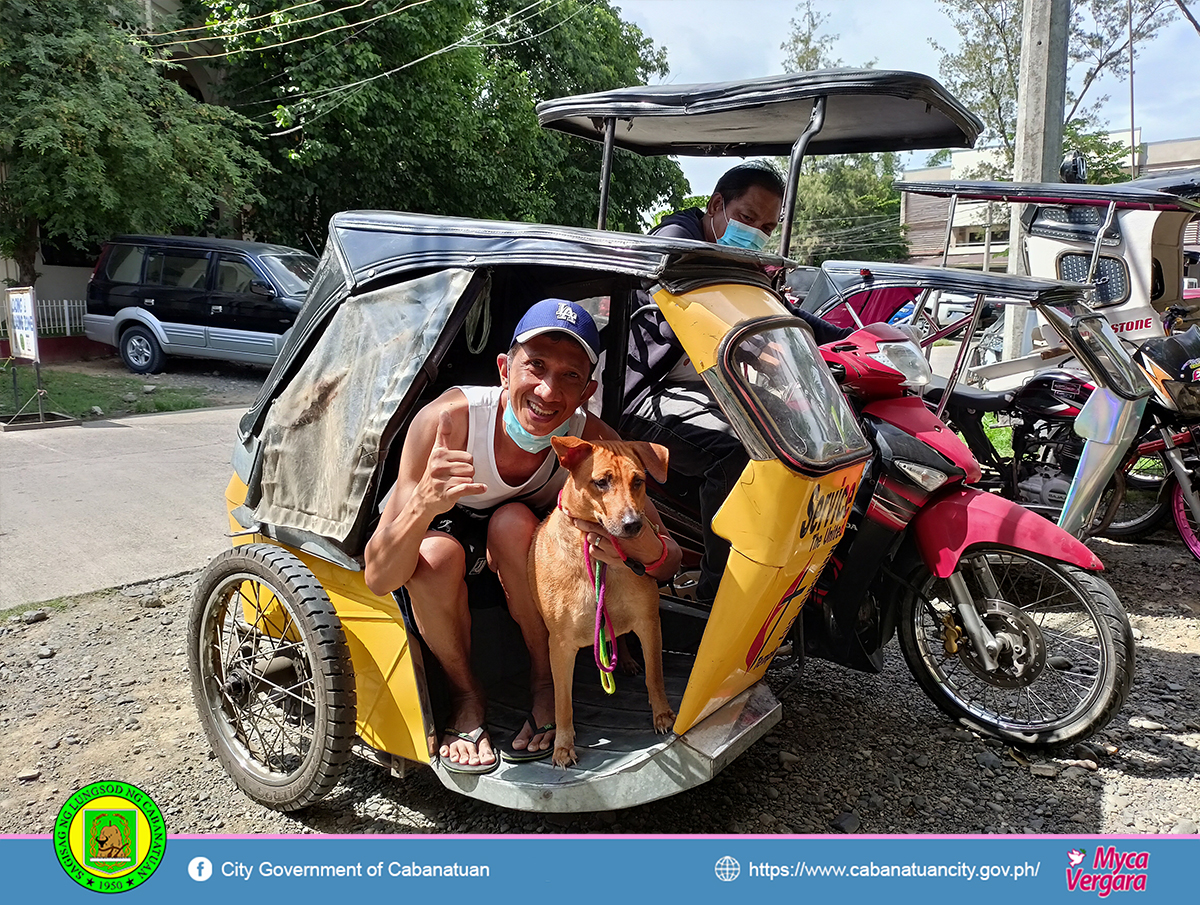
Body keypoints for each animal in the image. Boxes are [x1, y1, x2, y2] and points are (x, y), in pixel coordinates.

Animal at [530, 434, 681, 763]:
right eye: (601, 482)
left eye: (638, 481)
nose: (634, 524)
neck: (602, 560)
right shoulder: (560, 645)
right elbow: (563, 702)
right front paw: (563, 744)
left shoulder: (648, 621)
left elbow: (655, 675)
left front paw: (663, 715)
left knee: (619, 637)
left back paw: (625, 660)